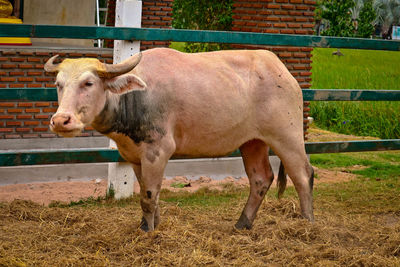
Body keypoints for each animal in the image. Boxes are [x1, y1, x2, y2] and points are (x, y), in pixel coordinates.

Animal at [43, 48, 312, 232]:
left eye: (88, 82)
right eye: (59, 84)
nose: (61, 120)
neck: (136, 98)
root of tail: (282, 71)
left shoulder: (157, 153)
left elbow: (148, 197)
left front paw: (148, 232)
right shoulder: (136, 158)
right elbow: (150, 196)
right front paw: (148, 226)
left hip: (287, 136)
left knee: (303, 175)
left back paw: (308, 223)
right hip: (252, 142)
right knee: (260, 179)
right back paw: (242, 224)